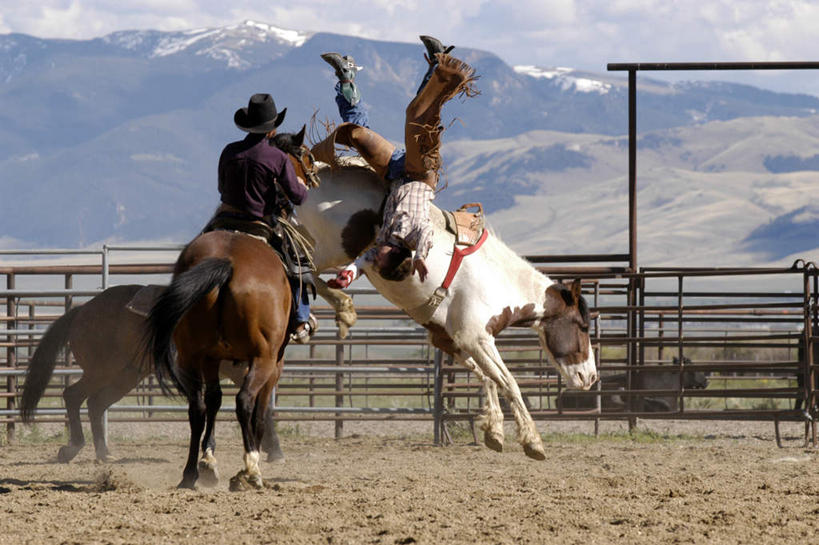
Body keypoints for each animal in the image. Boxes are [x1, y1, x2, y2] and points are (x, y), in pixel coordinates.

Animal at [20, 284, 286, 464]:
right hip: (102, 370)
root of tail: (82, 310)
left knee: (96, 403)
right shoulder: (243, 370)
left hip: (127, 375)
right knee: (73, 395)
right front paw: (274, 450)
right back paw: (73, 448)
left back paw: (104, 453)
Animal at [149, 230, 294, 488]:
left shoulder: (211, 359)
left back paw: (189, 474)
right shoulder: (273, 368)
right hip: (263, 359)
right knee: (244, 402)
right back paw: (252, 468)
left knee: (197, 409)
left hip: (192, 356)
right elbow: (259, 416)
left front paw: (208, 461)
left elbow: (214, 400)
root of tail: (228, 261)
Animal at [274, 132, 596, 460]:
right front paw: (533, 442)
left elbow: (486, 377)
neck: (499, 280)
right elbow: (508, 382)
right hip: (329, 246)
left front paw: (493, 431)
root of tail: (310, 171)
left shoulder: (451, 339)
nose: (590, 378)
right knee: (299, 268)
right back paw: (333, 310)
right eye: (583, 327)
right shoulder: (477, 337)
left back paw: (332, 311)